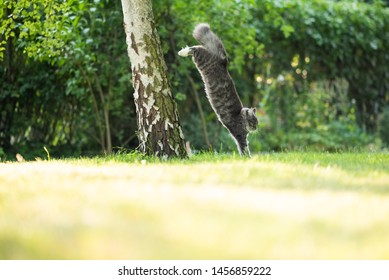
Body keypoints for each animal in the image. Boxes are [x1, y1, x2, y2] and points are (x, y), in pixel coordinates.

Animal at [178, 23, 258, 156]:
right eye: (253, 122)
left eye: (257, 123)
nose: (256, 128)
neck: (240, 116)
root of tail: (223, 61)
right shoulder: (240, 135)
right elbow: (244, 149)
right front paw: (247, 158)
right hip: (201, 59)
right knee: (194, 49)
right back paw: (182, 52)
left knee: (198, 46)